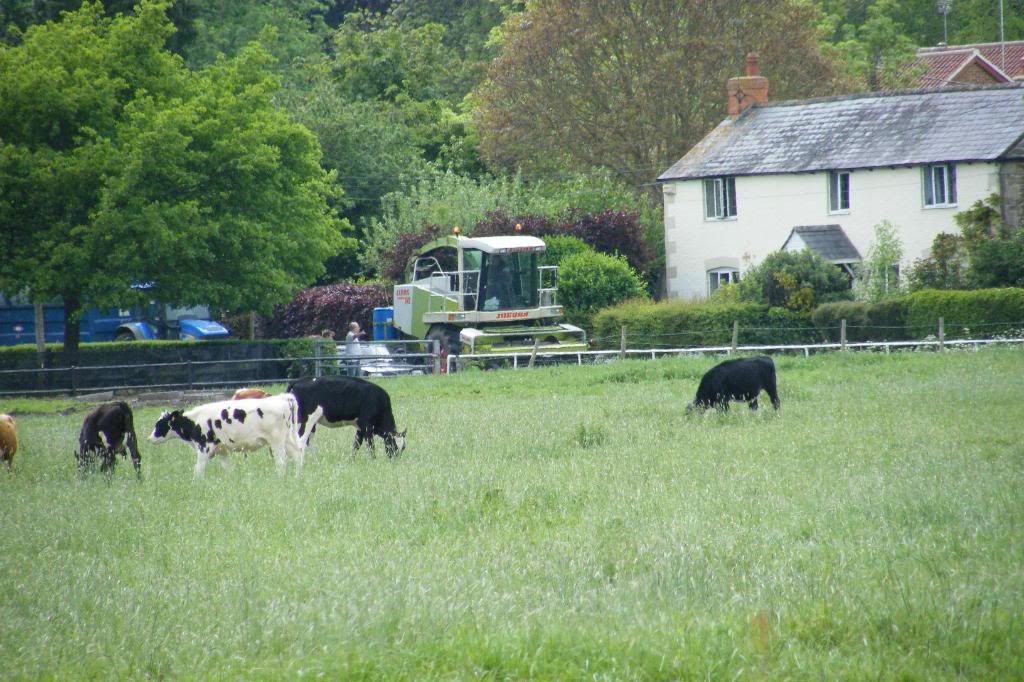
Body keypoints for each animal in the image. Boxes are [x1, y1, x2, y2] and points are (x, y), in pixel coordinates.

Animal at [147, 391, 319, 475]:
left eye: (160, 424)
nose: (150, 438)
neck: (195, 420)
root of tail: (282, 398)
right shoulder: (222, 451)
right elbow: (227, 469)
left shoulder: (204, 448)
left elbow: (198, 470)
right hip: (287, 439)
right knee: (297, 456)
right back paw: (297, 478)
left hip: (276, 441)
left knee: (282, 462)